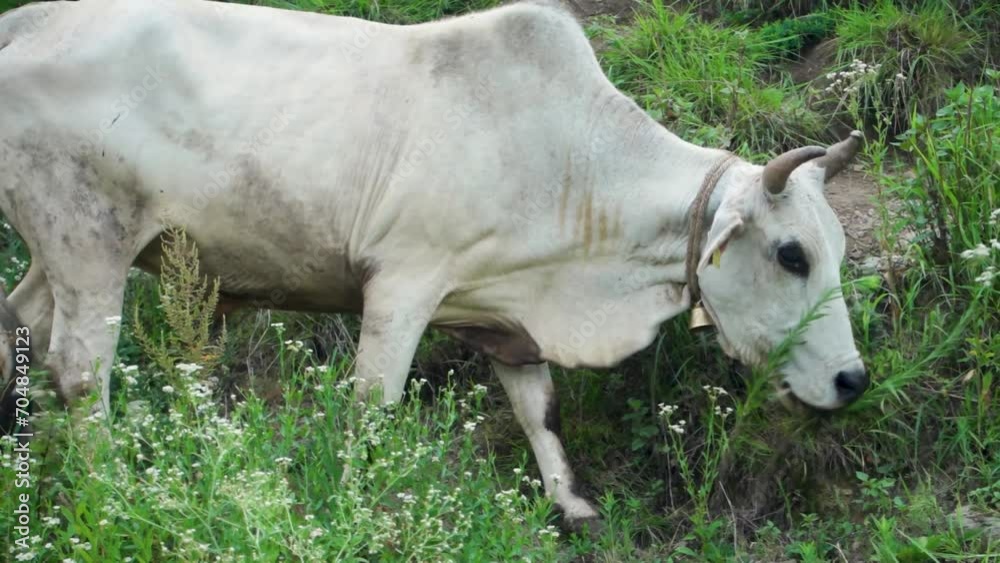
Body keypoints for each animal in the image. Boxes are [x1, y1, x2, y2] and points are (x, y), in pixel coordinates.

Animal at [0, 0, 868, 530]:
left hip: (56, 253)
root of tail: (33, 20)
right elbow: (371, 408)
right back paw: (110, 488)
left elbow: (540, 410)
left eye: (835, 250)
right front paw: (360, 504)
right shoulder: (401, 283)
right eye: (791, 253)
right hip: (90, 239)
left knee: (19, 324)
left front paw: (572, 504)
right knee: (79, 369)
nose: (853, 379)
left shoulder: (508, 318)